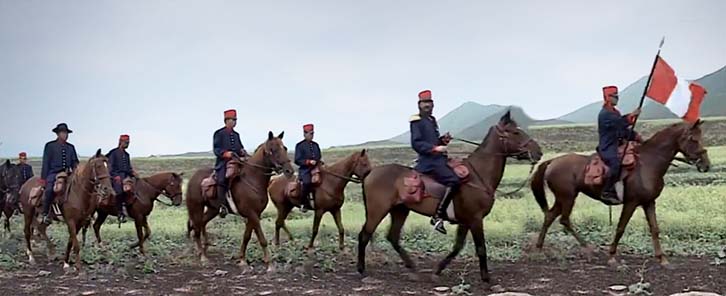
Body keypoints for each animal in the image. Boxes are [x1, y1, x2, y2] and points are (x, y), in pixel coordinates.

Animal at [188, 131, 296, 270]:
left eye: (285, 148)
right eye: (273, 149)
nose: (289, 171)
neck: (252, 179)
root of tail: (193, 177)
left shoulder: (254, 215)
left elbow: (246, 236)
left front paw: (242, 259)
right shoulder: (252, 214)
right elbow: (262, 239)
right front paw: (269, 263)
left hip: (213, 209)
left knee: (202, 223)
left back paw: (205, 250)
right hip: (196, 207)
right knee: (196, 229)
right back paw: (203, 257)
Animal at [356, 111, 544, 284]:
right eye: (515, 132)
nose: (538, 152)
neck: (478, 175)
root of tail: (370, 173)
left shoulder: (465, 221)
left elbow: (457, 247)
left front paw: (438, 270)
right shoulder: (475, 219)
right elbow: (481, 248)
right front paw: (486, 278)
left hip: (400, 210)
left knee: (392, 237)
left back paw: (412, 267)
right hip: (377, 211)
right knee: (364, 235)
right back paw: (361, 270)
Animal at [532, 119, 712, 268]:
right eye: (693, 139)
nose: (706, 165)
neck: (648, 163)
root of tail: (552, 161)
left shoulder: (649, 202)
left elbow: (654, 229)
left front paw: (662, 259)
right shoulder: (631, 203)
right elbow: (620, 228)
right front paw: (612, 257)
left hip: (561, 198)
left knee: (550, 216)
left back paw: (539, 249)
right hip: (568, 197)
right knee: (564, 220)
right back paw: (589, 248)